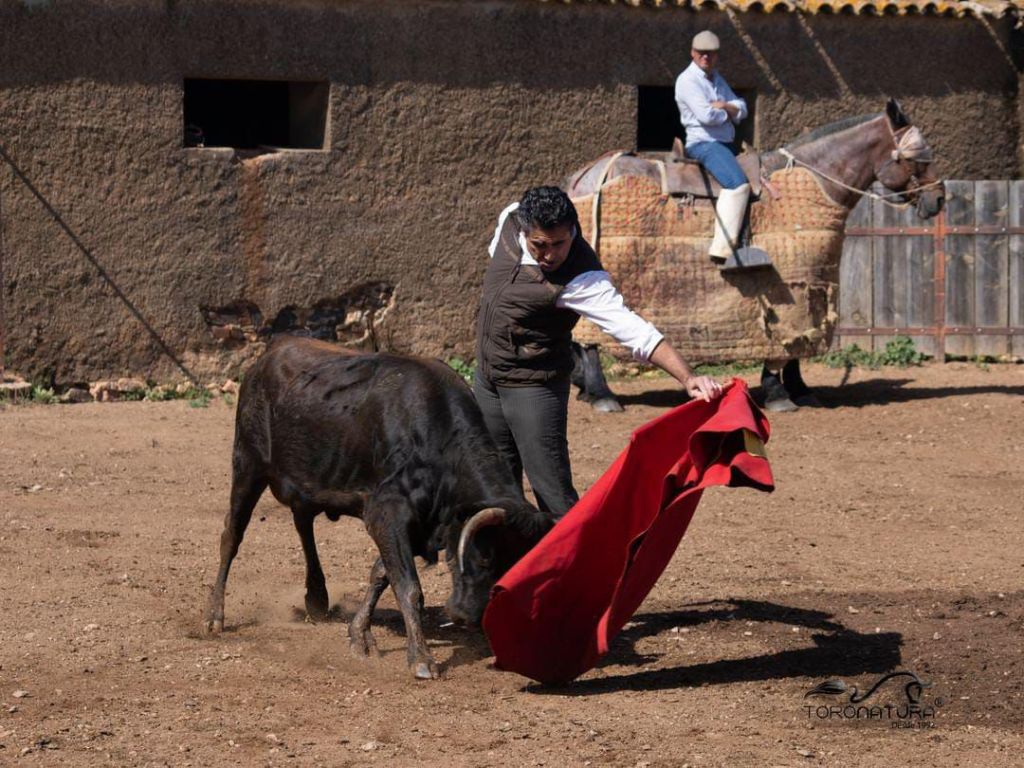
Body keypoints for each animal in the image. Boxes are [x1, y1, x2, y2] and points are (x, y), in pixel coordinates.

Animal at [205, 336, 553, 679]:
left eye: (516, 565)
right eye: (484, 557)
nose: (468, 616)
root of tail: (269, 353)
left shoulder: (416, 524)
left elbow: (381, 573)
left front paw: (359, 634)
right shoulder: (387, 514)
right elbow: (408, 586)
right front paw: (422, 659)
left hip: (306, 481)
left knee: (303, 522)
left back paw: (316, 597)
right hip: (248, 464)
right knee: (231, 535)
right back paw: (214, 616)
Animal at [564, 99, 944, 412]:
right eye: (916, 157)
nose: (939, 198)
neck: (814, 178)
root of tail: (586, 176)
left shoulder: (807, 285)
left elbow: (797, 343)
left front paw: (801, 389)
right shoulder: (789, 285)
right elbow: (783, 344)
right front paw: (779, 394)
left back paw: (585, 387)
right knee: (589, 337)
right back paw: (602, 395)